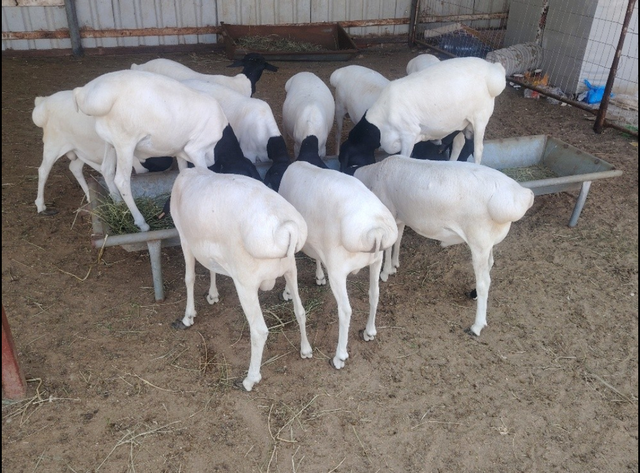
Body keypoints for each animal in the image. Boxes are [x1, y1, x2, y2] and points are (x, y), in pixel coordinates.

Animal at [73, 69, 241, 232]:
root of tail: (87, 95)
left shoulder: (181, 151)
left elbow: (183, 172)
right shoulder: (196, 150)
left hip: (110, 142)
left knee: (106, 169)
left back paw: (118, 204)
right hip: (125, 142)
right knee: (121, 180)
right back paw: (141, 223)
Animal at [170, 166, 311, 391]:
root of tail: (286, 228)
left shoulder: (184, 238)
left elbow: (189, 278)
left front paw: (188, 317)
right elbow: (211, 267)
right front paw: (212, 295)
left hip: (246, 282)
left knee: (259, 330)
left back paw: (249, 379)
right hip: (290, 269)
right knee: (300, 310)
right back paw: (306, 350)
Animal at [278, 161, 398, 369]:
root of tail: (376, 231)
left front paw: (287, 291)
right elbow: (316, 256)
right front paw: (319, 276)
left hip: (338, 269)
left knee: (345, 310)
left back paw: (339, 356)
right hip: (376, 260)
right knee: (374, 294)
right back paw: (369, 332)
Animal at [338, 57, 507, 172]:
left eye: (348, 161)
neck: (379, 125)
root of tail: (493, 70)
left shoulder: (409, 134)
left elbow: (404, 156)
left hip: (480, 118)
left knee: (478, 150)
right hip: (461, 121)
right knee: (459, 144)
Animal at [353, 155, 535, 336]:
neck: (374, 173)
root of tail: (521, 195)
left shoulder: (389, 212)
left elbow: (390, 245)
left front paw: (385, 272)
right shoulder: (400, 216)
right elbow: (398, 239)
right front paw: (394, 265)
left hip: (478, 240)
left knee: (484, 282)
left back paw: (476, 326)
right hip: (487, 241)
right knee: (490, 265)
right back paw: (474, 294)